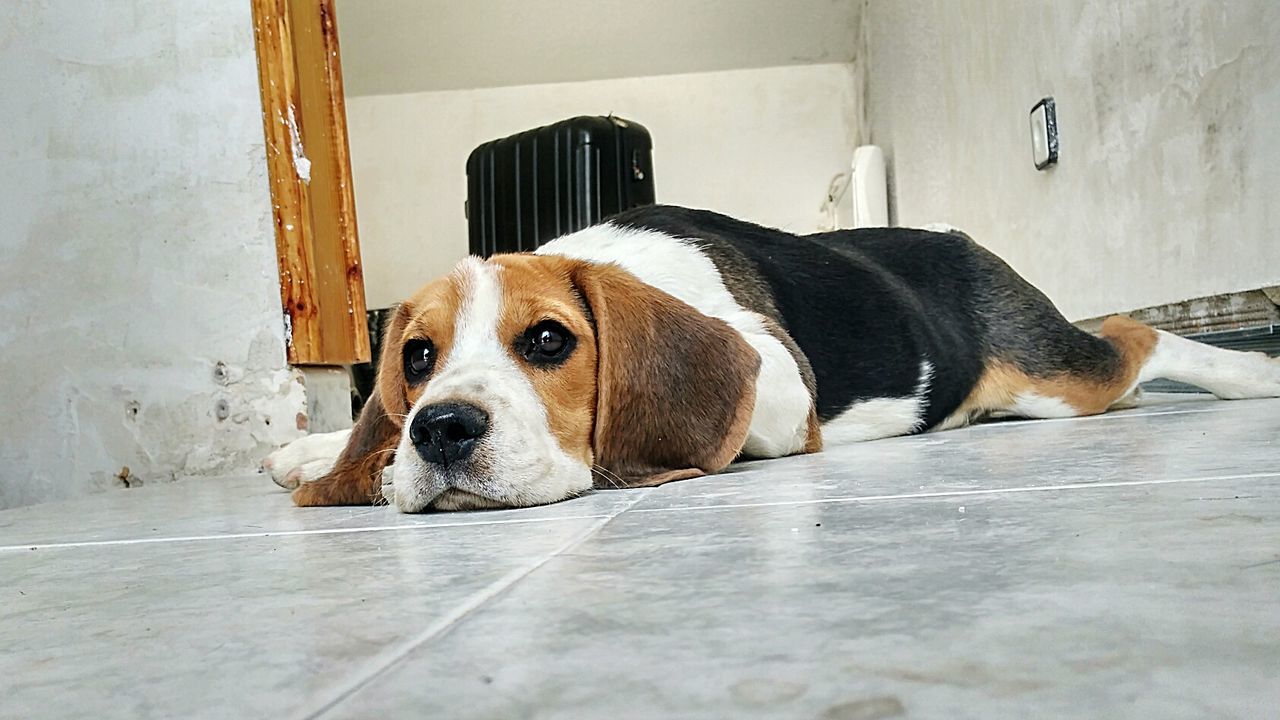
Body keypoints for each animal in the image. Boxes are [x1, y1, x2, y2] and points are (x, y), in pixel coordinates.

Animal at [264, 204, 1280, 509]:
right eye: (417, 356)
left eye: (549, 339)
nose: (440, 430)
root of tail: (963, 239)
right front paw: (324, 453)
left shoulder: (782, 384)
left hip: (1058, 380)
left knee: (1137, 337)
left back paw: (1255, 373)